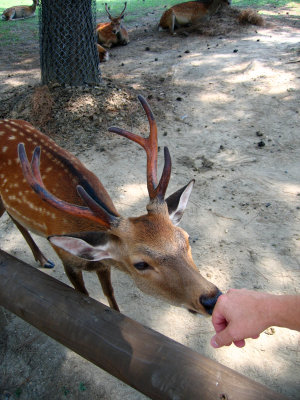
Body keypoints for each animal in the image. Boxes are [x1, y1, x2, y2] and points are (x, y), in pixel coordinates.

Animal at [0, 96, 220, 316]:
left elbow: (109, 293)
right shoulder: (66, 260)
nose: (211, 298)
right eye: (141, 264)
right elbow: (83, 295)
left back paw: (41, 258)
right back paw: (43, 259)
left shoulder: (103, 265)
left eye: (186, 238)